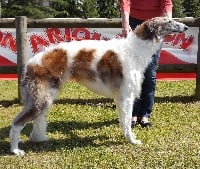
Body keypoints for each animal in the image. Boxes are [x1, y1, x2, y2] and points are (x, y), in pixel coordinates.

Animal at [9, 16, 188, 155]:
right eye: (169, 21)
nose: (185, 27)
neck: (135, 49)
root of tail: (30, 64)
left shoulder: (120, 98)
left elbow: (123, 122)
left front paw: (126, 137)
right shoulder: (126, 96)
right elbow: (127, 122)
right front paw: (132, 140)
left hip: (43, 98)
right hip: (41, 100)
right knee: (16, 124)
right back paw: (15, 150)